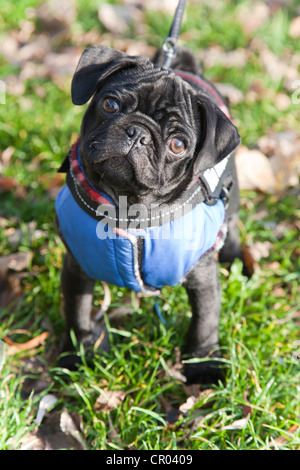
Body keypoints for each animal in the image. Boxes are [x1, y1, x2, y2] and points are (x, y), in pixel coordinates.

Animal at [56, 44, 243, 384]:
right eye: (110, 104)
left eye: (178, 144)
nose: (137, 133)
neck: (128, 208)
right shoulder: (77, 267)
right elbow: (77, 314)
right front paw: (77, 353)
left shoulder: (203, 279)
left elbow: (204, 323)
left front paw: (204, 364)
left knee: (232, 225)